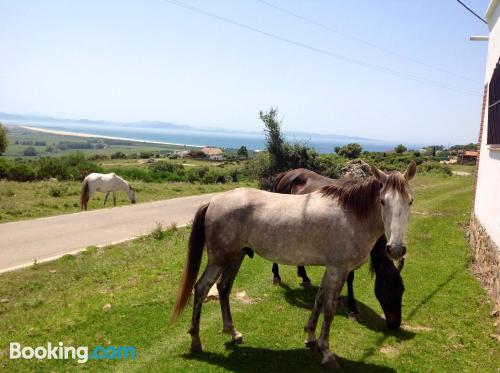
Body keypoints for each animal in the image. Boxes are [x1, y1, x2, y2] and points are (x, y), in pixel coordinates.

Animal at [270, 167, 406, 326]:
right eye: (388, 290)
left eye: (402, 290)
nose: (395, 324)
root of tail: (286, 174)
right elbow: (350, 278)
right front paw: (352, 309)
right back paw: (276, 276)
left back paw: (304, 276)